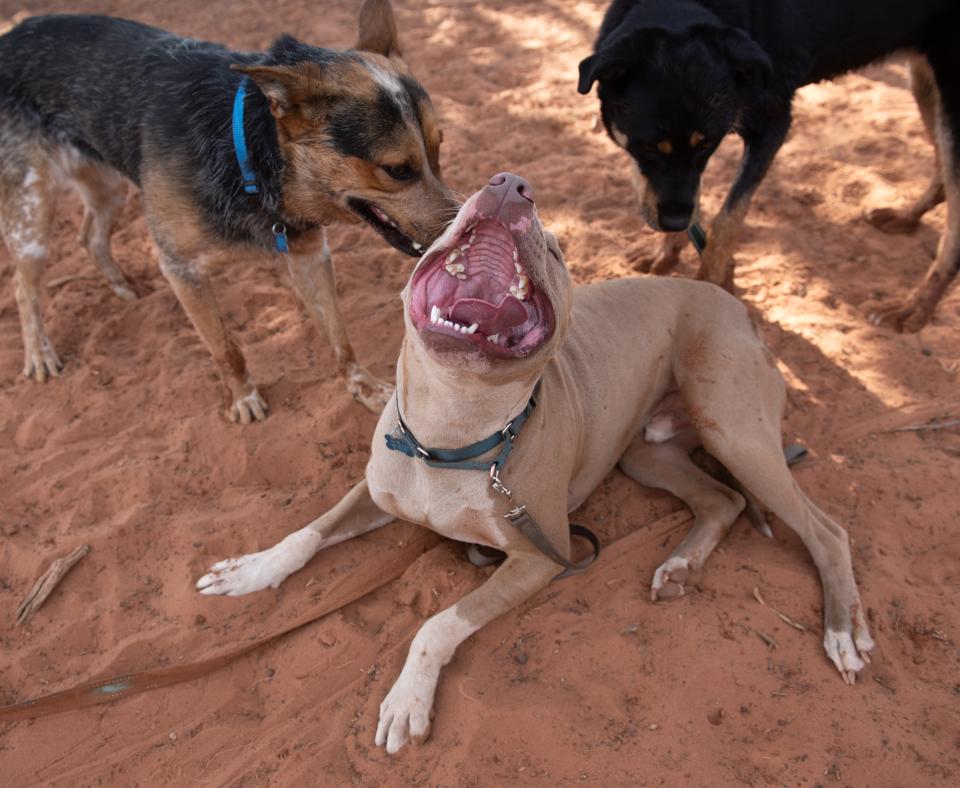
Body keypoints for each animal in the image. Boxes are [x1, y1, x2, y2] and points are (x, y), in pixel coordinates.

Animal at [0, 0, 456, 418]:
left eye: (438, 150)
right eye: (397, 170)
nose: (460, 234)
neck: (250, 151)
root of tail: (9, 37)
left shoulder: (308, 254)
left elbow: (338, 334)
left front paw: (361, 384)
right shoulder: (180, 268)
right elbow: (225, 348)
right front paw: (243, 398)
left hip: (109, 186)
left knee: (89, 236)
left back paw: (121, 288)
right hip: (31, 214)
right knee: (24, 285)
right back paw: (39, 353)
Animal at [199, 175, 872, 756]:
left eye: (555, 249)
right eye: (448, 223)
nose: (510, 184)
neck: (450, 435)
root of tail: (738, 307)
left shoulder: (539, 558)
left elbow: (436, 625)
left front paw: (407, 698)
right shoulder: (377, 486)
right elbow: (306, 535)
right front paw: (251, 570)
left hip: (734, 431)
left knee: (828, 530)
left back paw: (843, 631)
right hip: (647, 453)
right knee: (722, 500)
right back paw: (680, 567)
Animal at [576, 0, 960, 330]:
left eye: (708, 144)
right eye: (647, 146)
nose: (673, 221)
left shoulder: (773, 124)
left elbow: (727, 220)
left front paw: (709, 285)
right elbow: (686, 200)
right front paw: (668, 252)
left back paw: (913, 307)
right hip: (925, 83)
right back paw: (907, 217)